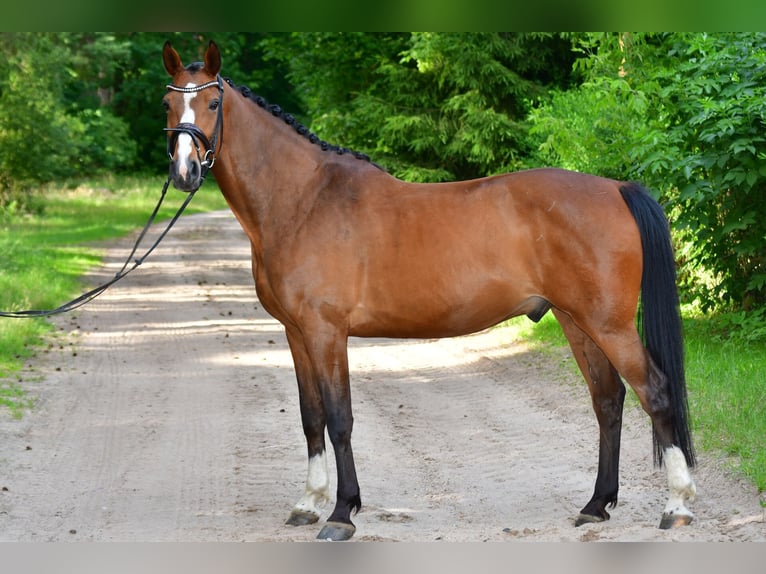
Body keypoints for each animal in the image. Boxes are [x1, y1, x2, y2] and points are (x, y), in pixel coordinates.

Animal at [162, 42, 696, 544]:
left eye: (213, 102)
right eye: (168, 103)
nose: (185, 172)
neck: (303, 201)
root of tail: (616, 188)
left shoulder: (326, 331)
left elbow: (339, 418)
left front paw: (342, 513)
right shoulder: (296, 333)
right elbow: (311, 416)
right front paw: (308, 503)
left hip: (609, 324)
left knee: (656, 392)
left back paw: (677, 506)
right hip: (576, 320)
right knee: (608, 400)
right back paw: (596, 505)